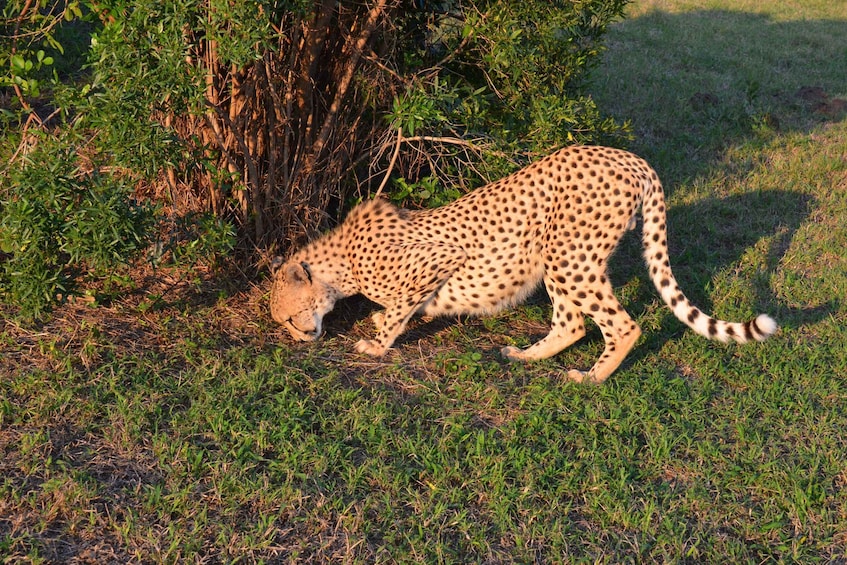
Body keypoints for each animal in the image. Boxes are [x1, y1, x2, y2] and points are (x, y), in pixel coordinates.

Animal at [270, 145, 776, 384]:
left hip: (568, 256)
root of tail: (630, 158)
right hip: (558, 260)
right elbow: (409, 308)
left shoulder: (437, 259)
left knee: (621, 325)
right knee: (572, 324)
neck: (339, 263)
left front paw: (375, 345)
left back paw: (591, 377)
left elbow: (398, 311)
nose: (303, 338)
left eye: (291, 318)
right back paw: (527, 356)